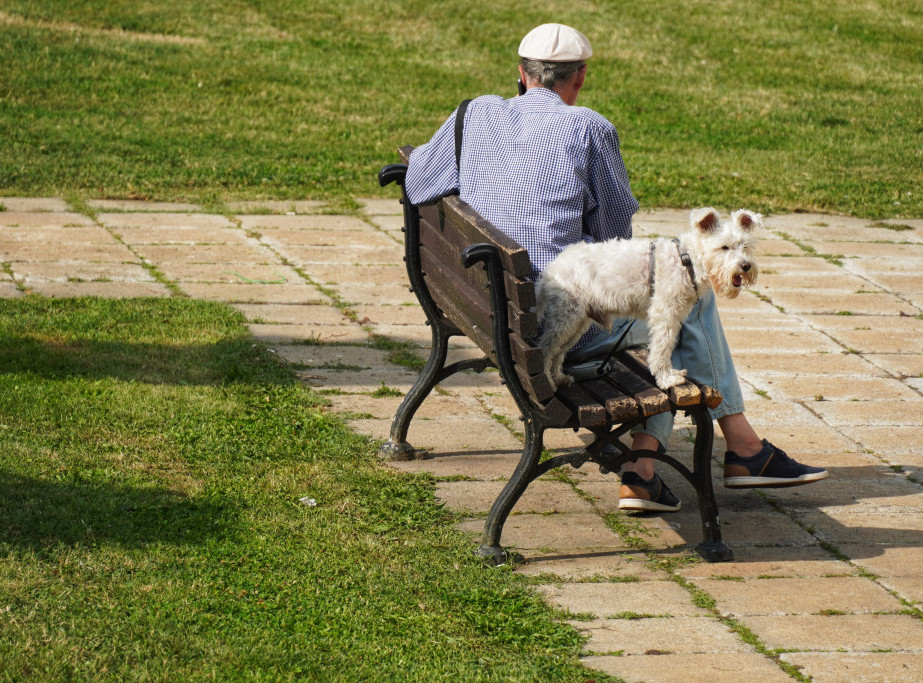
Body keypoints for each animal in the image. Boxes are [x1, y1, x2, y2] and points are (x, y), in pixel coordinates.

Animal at [536, 207, 760, 390]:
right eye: (724, 247)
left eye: (745, 246)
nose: (746, 265)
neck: (687, 260)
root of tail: (551, 268)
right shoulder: (665, 314)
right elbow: (662, 347)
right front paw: (666, 379)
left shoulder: (675, 316)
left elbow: (666, 345)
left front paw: (669, 374)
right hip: (566, 318)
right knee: (546, 348)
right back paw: (546, 383)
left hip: (577, 323)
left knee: (558, 352)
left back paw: (559, 378)